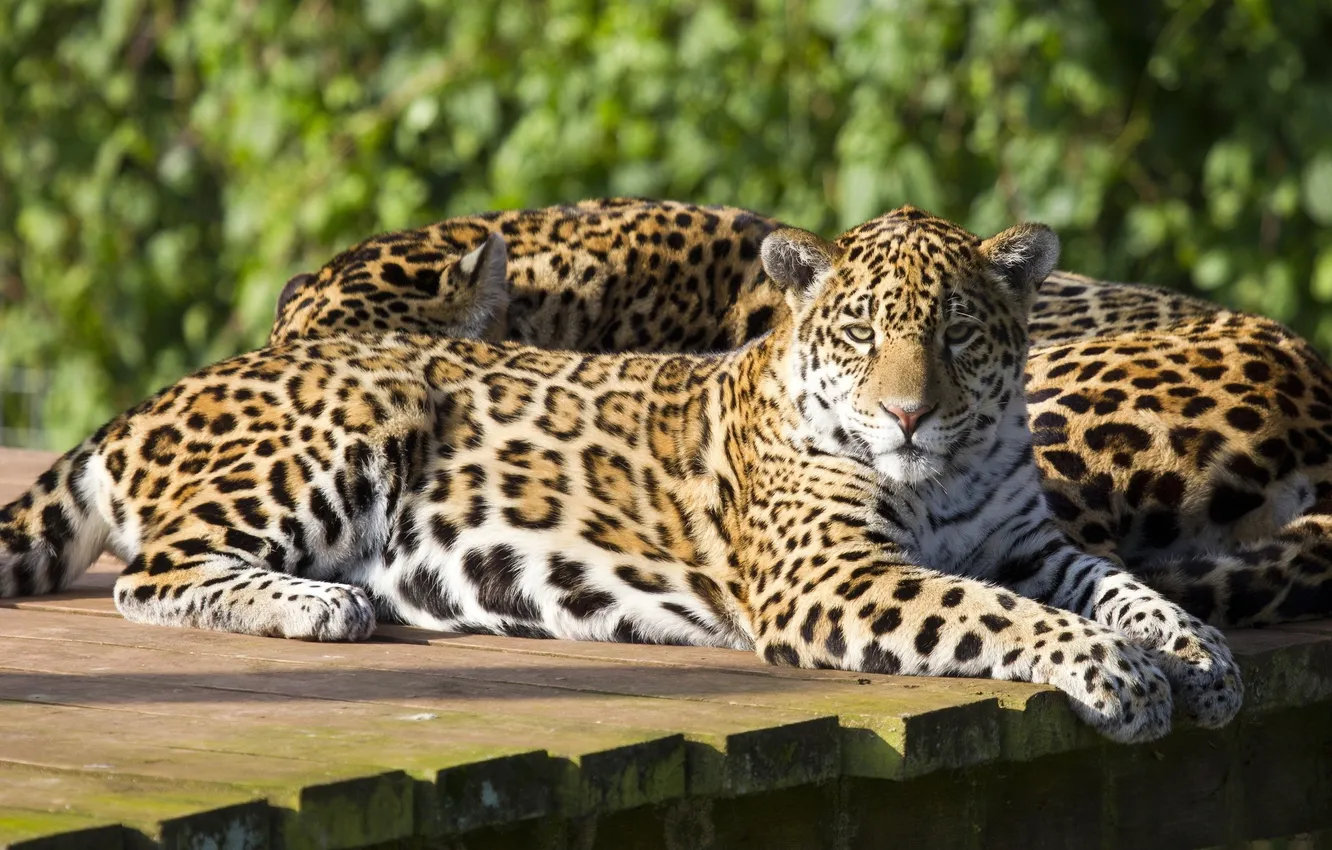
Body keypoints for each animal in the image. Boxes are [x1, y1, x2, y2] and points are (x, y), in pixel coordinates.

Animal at [0, 208, 1242, 744]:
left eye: (957, 334)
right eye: (859, 333)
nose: (905, 412)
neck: (946, 470)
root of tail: (164, 392)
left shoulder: (1032, 541)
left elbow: (1124, 586)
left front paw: (1203, 658)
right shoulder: (834, 577)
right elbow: (995, 611)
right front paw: (1122, 675)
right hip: (353, 421)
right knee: (151, 574)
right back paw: (322, 604)